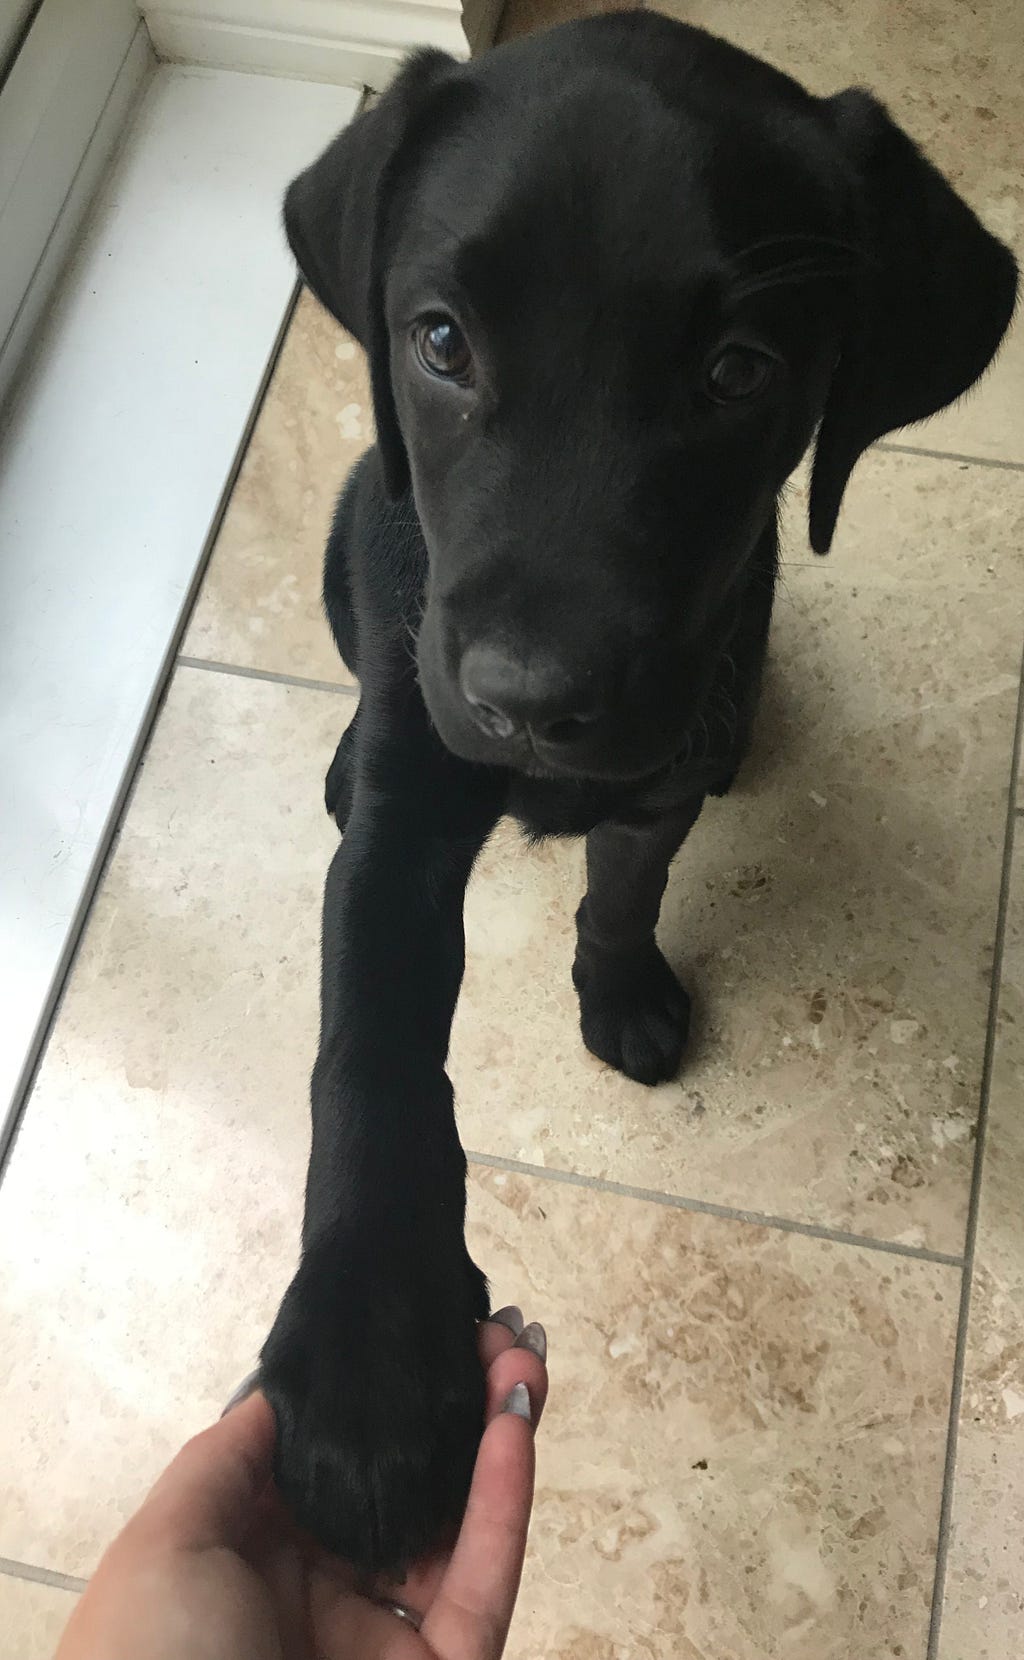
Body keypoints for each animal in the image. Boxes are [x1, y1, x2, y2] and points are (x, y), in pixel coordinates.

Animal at [257, 9, 1015, 1567]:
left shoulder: (661, 766)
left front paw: (619, 987)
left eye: (738, 372)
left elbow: (625, 884)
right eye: (441, 341)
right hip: (351, 542)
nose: (527, 705)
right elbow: (373, 1053)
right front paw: (370, 1361)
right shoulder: (408, 823)